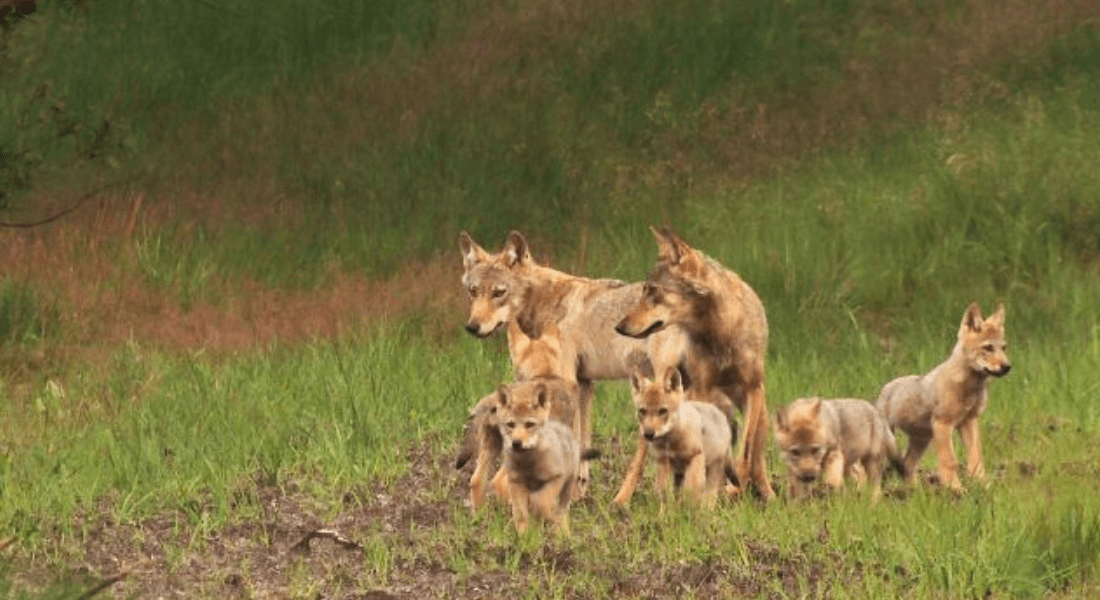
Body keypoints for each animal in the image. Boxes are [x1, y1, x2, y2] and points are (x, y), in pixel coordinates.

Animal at [620, 224, 774, 495]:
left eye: (653, 290)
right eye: (643, 290)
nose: (618, 326)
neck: (721, 332)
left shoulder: (752, 389)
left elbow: (744, 454)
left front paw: (734, 488)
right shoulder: (702, 389)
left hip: (761, 413)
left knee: (757, 460)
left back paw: (768, 496)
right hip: (659, 397)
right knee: (638, 460)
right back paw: (622, 499)